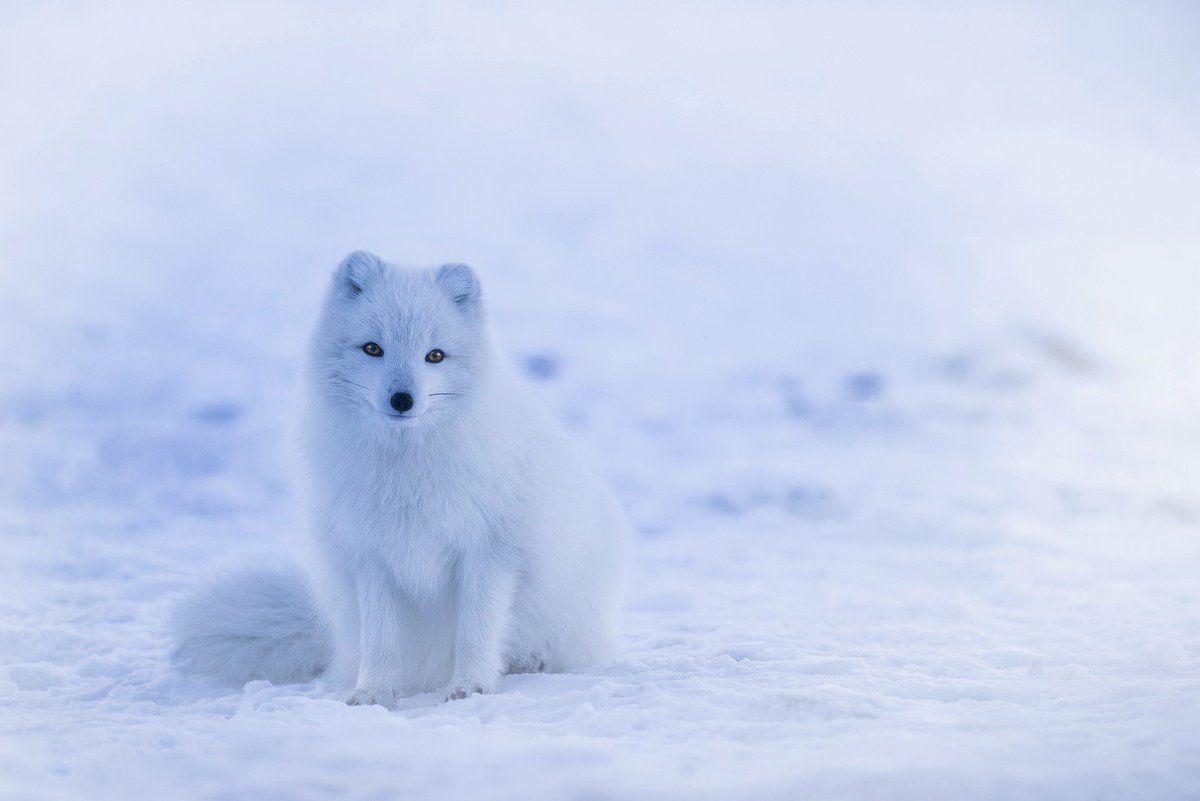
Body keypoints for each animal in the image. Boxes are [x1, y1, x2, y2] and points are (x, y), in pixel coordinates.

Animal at [171, 252, 628, 705]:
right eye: (373, 348)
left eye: (435, 356)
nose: (402, 399)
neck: (407, 471)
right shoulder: (372, 557)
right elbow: (381, 640)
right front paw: (372, 692)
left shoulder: (490, 553)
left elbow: (476, 631)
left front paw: (469, 686)